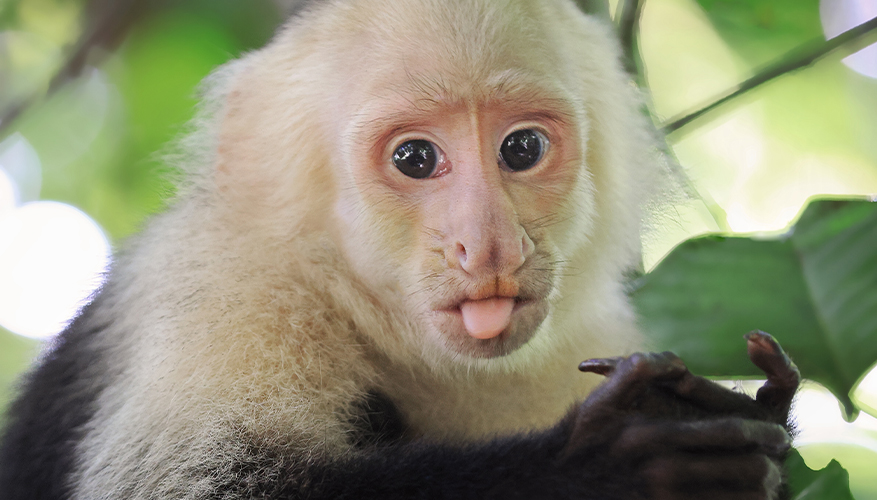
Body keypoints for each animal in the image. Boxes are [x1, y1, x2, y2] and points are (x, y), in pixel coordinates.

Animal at [0, 0, 800, 498]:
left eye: (522, 149)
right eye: (415, 159)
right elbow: (206, 483)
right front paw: (607, 467)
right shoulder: (228, 282)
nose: (488, 245)